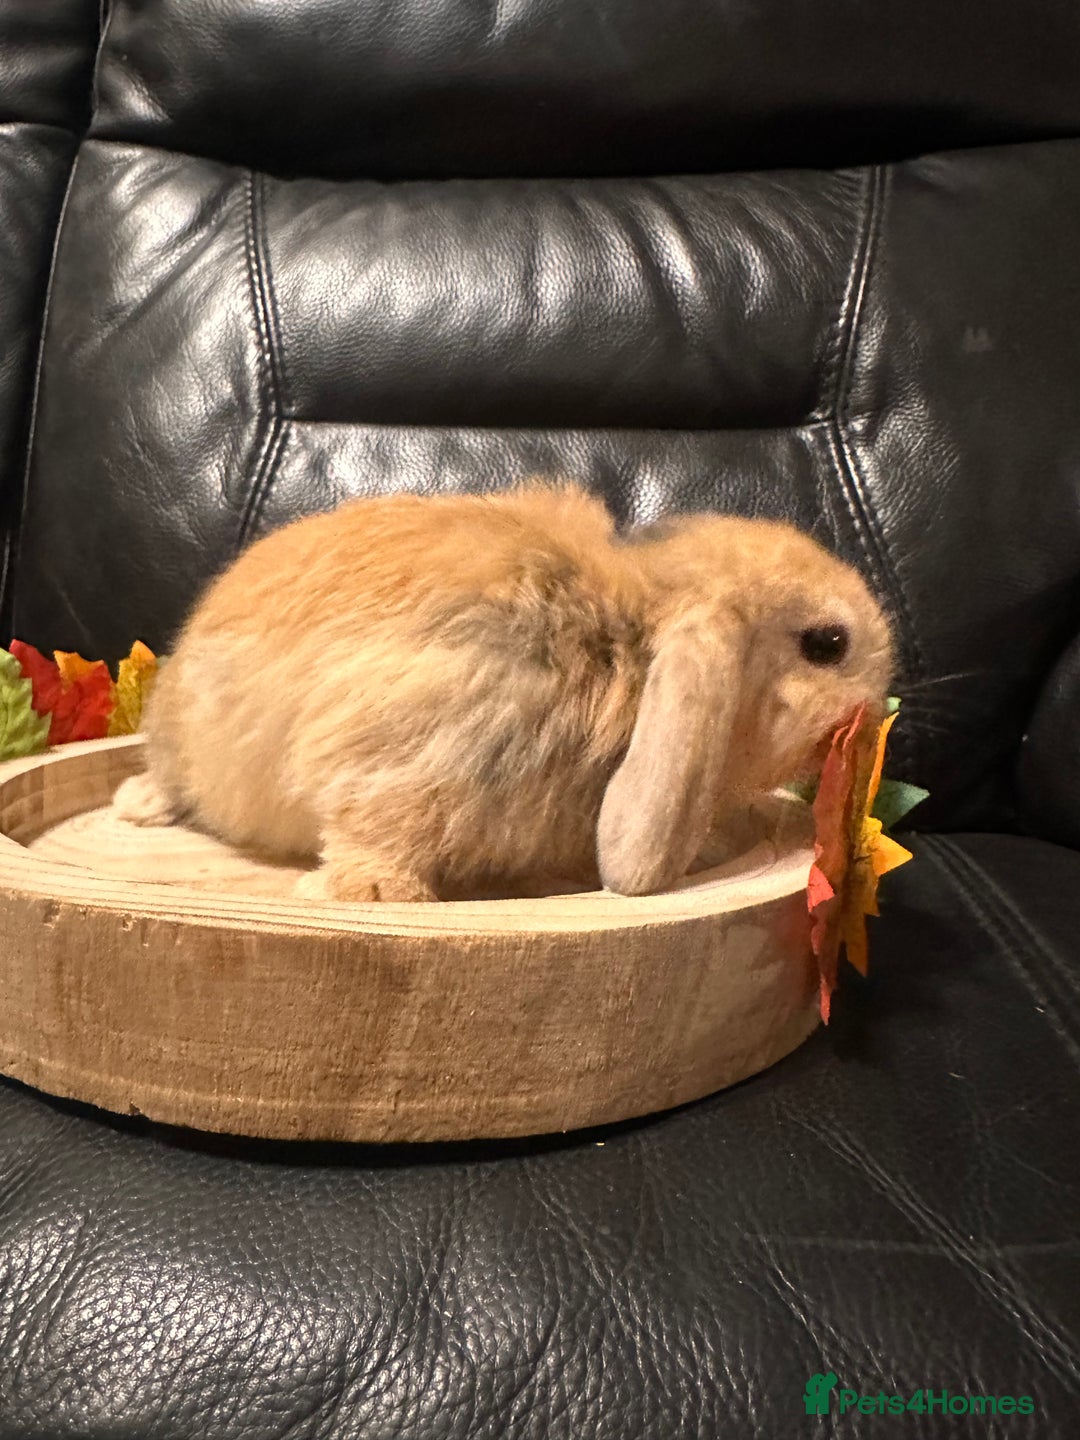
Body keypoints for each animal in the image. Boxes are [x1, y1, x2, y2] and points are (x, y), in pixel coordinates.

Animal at [112, 482, 893, 900]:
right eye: (828, 644)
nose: (878, 705)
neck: (628, 642)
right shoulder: (415, 754)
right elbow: (374, 830)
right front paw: (364, 894)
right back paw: (138, 807)